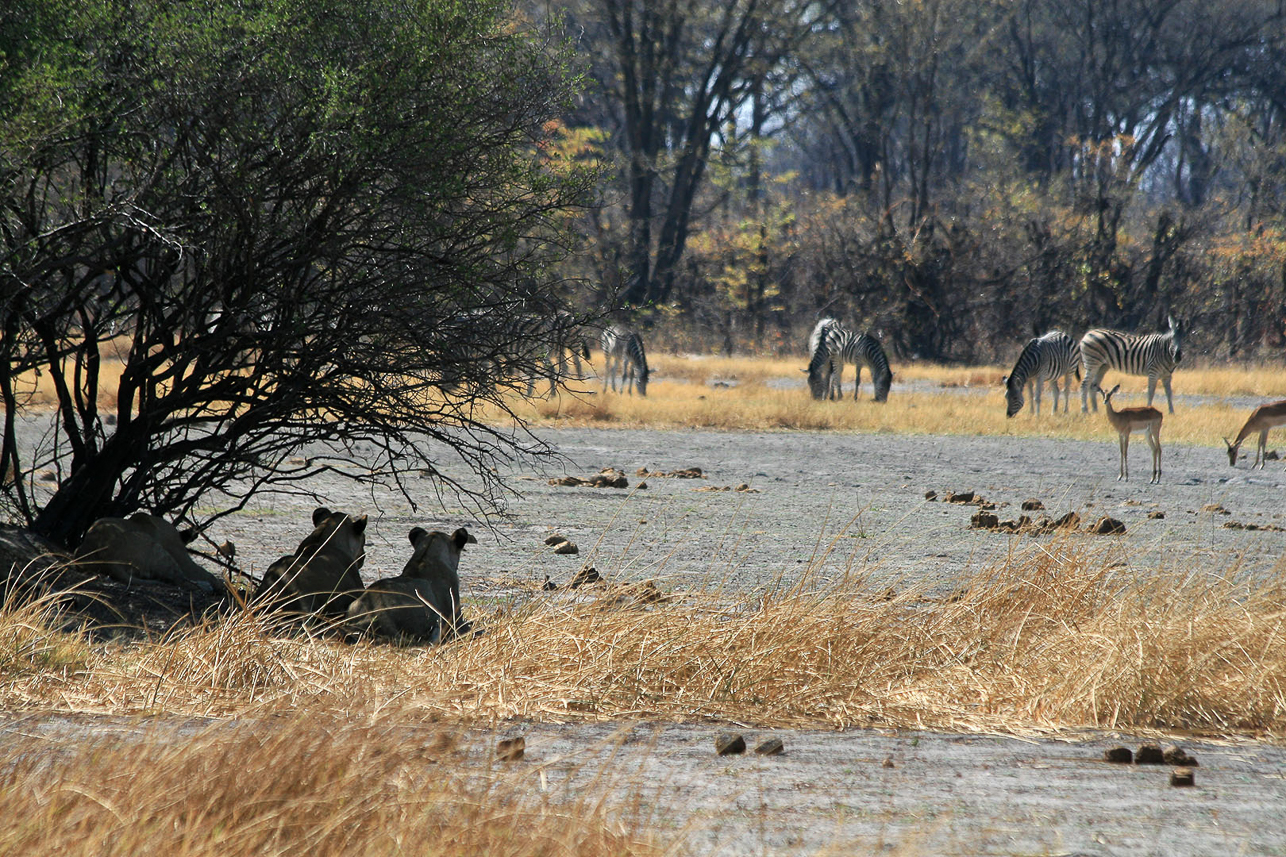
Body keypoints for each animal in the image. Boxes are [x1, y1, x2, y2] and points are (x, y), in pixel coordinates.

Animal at [75, 509, 227, 591]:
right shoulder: (178, 552)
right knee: (180, 579)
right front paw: (221, 585)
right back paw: (207, 587)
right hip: (156, 549)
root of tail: (108, 559)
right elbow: (202, 573)